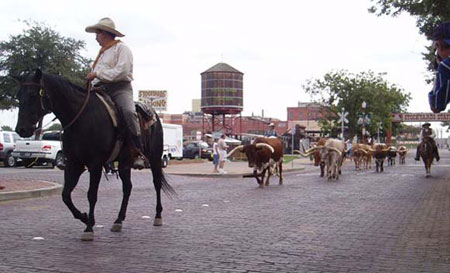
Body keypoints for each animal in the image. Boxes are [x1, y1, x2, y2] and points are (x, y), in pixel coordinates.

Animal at [15, 69, 174, 240]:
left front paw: (89, 227)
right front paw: (84, 218)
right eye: (18, 96)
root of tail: (155, 115)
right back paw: (118, 220)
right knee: (127, 188)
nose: (21, 129)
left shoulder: (95, 164)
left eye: (33, 94)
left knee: (156, 183)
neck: (81, 118)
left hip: (155, 158)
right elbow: (66, 195)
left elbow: (91, 194)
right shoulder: (74, 164)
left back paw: (158, 216)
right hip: (124, 163)